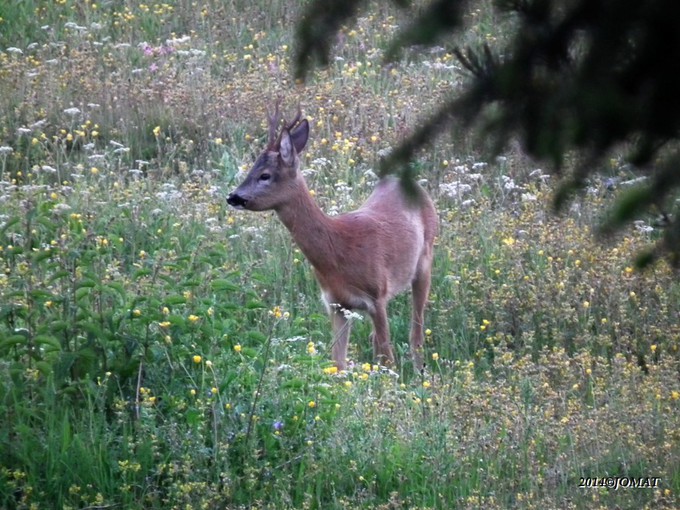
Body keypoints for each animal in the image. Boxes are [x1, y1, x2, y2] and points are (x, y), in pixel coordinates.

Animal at [228, 102, 438, 370]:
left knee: (416, 331)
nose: (233, 196)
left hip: (425, 261)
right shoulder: (335, 304)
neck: (338, 249)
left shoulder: (377, 295)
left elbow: (387, 359)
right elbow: (337, 363)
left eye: (264, 175)